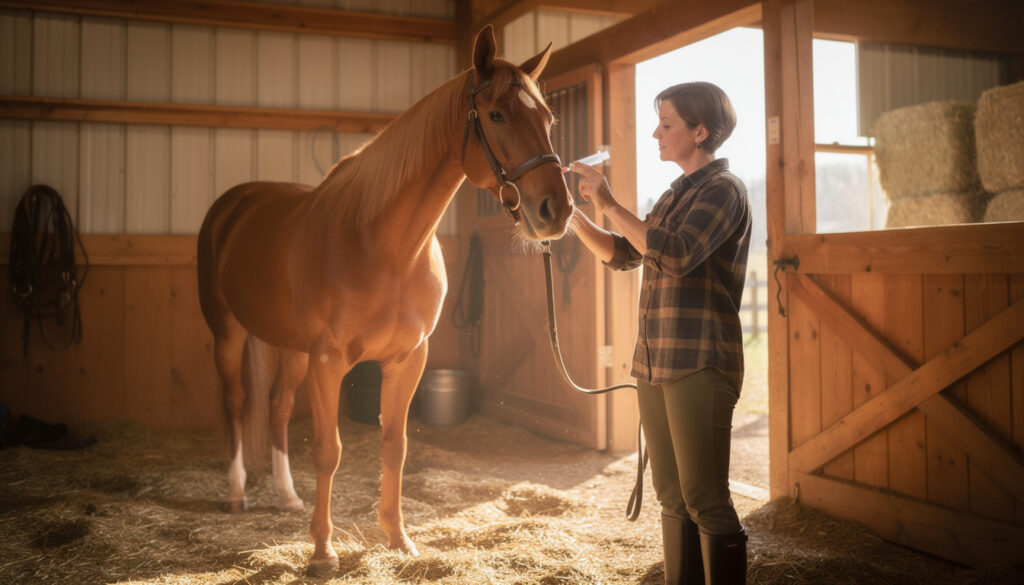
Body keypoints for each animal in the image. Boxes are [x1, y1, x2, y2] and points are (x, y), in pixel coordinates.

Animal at [196, 25, 573, 575]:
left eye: (547, 119)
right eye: (497, 115)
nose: (556, 211)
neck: (385, 245)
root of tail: (234, 204)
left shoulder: (408, 358)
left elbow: (395, 445)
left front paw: (398, 538)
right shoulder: (328, 361)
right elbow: (328, 451)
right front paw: (323, 552)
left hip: (289, 347)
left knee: (279, 407)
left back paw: (287, 497)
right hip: (227, 331)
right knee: (236, 402)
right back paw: (236, 493)